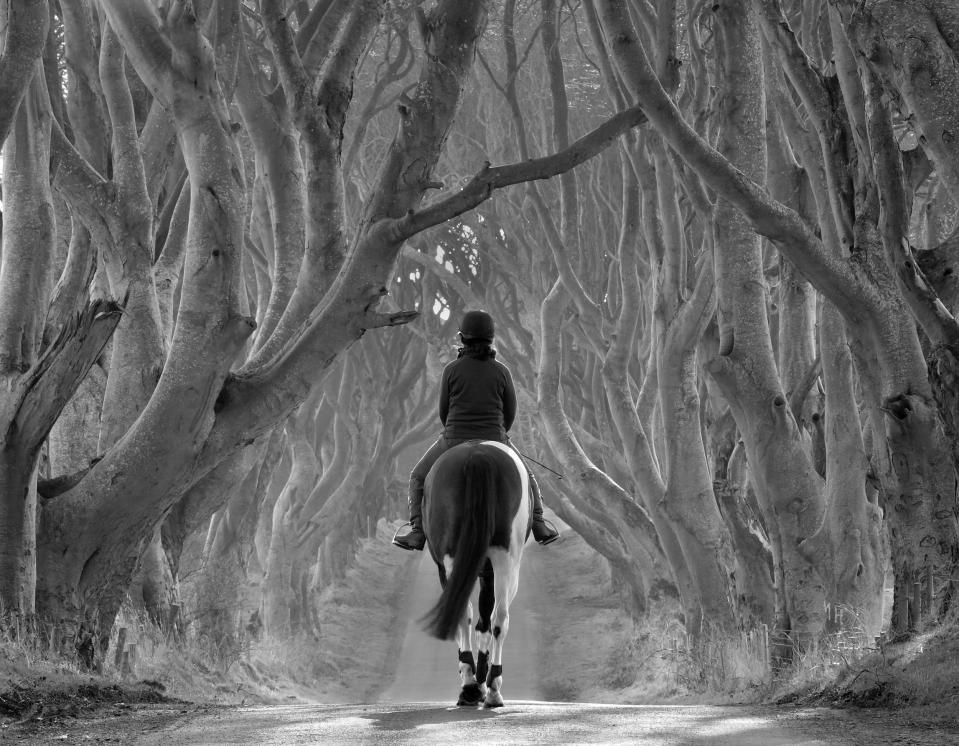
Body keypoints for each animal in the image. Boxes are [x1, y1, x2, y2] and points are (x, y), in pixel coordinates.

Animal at [424, 438, 536, 708]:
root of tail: (478, 454)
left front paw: (476, 683)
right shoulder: (487, 572)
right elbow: (484, 623)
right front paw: (481, 682)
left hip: (459, 558)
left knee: (470, 612)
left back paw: (472, 686)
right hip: (505, 559)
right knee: (499, 618)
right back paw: (492, 688)